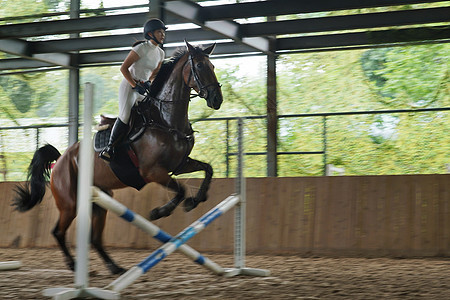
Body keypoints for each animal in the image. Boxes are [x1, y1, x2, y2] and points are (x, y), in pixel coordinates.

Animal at [13, 41, 224, 276]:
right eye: (199, 66)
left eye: (212, 66)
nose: (217, 99)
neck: (165, 119)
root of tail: (59, 161)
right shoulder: (153, 172)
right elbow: (181, 190)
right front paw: (160, 212)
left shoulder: (179, 165)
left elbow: (208, 169)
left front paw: (197, 200)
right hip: (70, 203)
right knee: (58, 232)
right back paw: (75, 266)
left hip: (100, 201)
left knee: (95, 238)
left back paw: (114, 266)